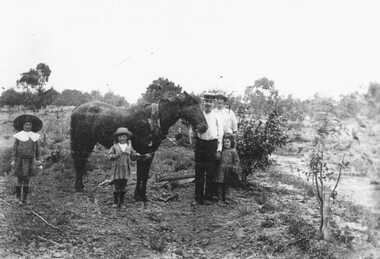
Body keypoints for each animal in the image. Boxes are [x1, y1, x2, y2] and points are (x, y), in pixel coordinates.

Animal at [71, 92, 208, 202]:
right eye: (194, 107)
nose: (204, 127)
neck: (153, 120)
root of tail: (76, 109)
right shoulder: (143, 152)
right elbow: (140, 174)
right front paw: (139, 196)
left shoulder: (149, 153)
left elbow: (144, 174)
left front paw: (141, 196)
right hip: (85, 142)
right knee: (79, 162)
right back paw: (79, 188)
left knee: (80, 162)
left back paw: (81, 186)